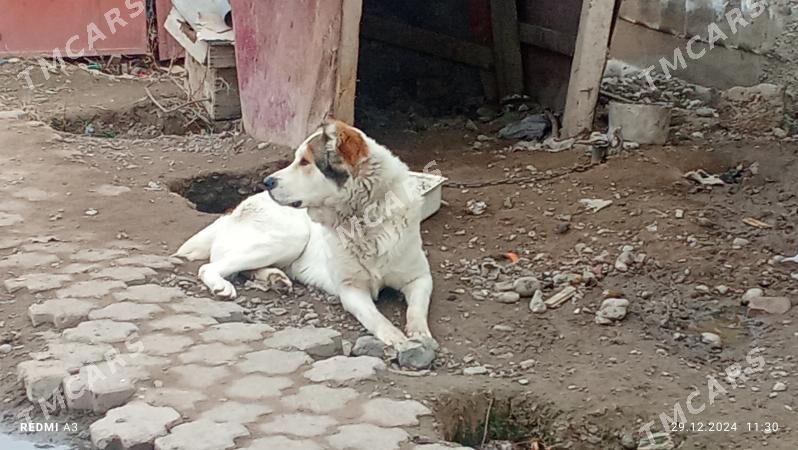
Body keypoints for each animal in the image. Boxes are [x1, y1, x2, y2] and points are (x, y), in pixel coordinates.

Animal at [176, 120, 438, 358]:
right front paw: (395, 337)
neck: (363, 220)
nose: (267, 182)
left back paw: (275, 278)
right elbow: (375, 317)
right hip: (291, 237)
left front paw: (420, 334)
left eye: (304, 162)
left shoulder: (420, 278)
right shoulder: (351, 289)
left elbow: (417, 310)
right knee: (212, 267)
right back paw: (224, 285)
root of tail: (233, 211)